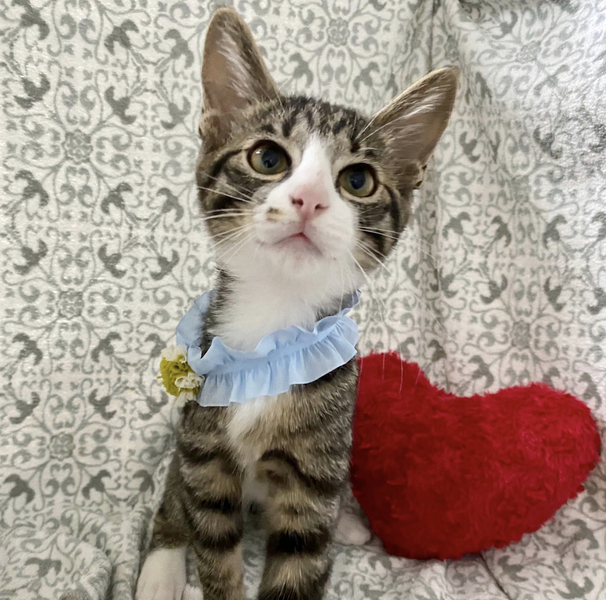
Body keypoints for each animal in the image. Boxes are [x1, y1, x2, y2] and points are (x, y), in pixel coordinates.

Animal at [136, 8, 457, 600]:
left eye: (358, 179)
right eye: (267, 158)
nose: (309, 199)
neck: (272, 328)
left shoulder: (314, 470)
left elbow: (303, 554)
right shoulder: (205, 452)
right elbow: (210, 540)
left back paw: (348, 521)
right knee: (173, 491)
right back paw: (161, 570)